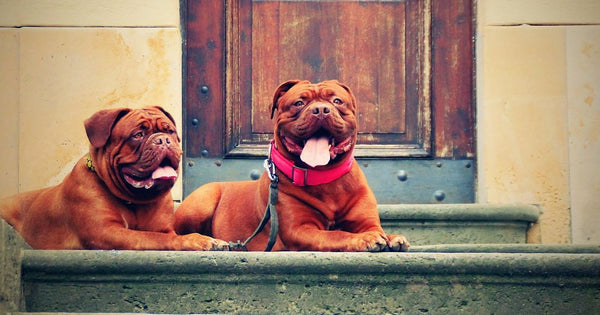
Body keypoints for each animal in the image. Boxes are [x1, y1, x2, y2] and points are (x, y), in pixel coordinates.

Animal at [0, 106, 229, 252]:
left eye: (170, 131)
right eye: (137, 135)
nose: (163, 140)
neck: (135, 201)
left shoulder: (163, 227)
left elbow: (164, 234)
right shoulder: (105, 232)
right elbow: (156, 238)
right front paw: (197, 240)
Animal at [173, 80, 408, 253]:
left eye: (337, 101)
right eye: (298, 103)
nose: (320, 109)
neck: (322, 175)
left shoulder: (367, 221)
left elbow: (375, 230)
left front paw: (392, 237)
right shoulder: (301, 230)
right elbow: (336, 234)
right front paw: (363, 239)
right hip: (203, 199)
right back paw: (207, 242)